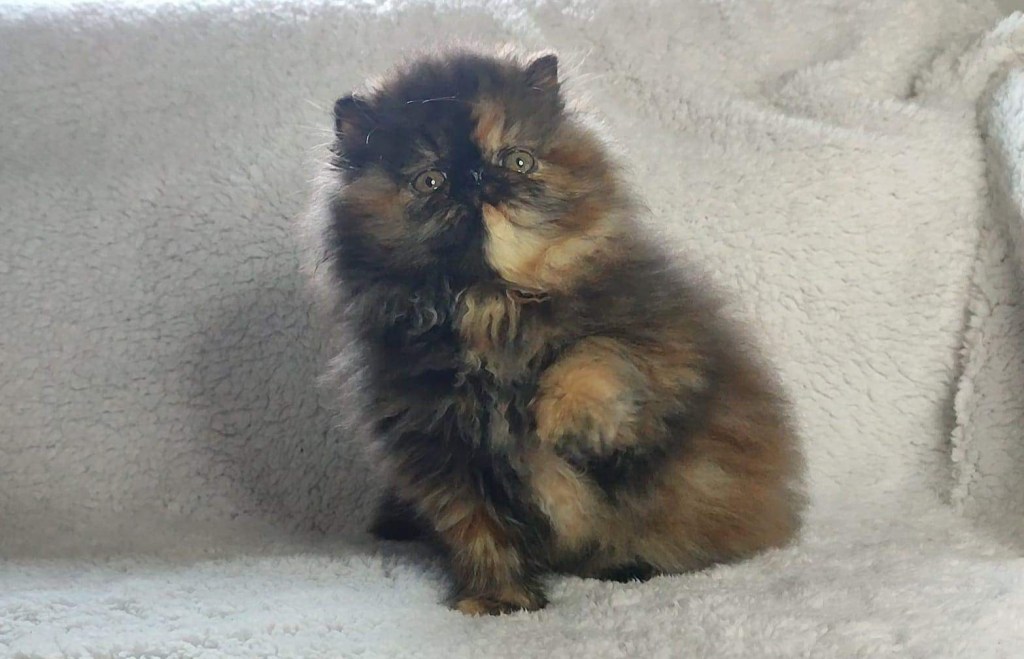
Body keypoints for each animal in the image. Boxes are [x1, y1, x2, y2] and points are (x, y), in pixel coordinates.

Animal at [305, 48, 804, 615]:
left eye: (518, 160)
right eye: (430, 180)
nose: (476, 176)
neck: (488, 304)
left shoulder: (668, 347)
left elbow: (595, 352)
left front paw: (564, 420)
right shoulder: (439, 450)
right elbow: (478, 531)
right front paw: (497, 601)